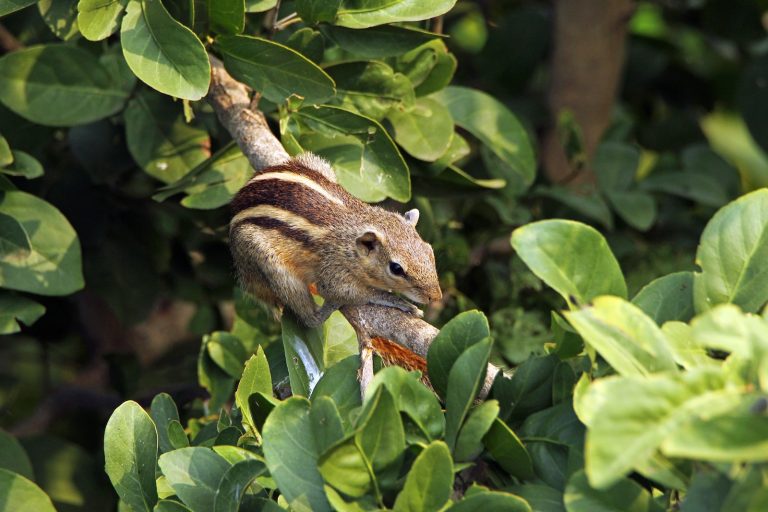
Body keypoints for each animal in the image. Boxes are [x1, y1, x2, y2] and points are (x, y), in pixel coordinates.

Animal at [229, 152, 443, 328]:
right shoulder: (333, 271)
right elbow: (352, 293)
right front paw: (400, 302)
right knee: (309, 318)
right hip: (265, 259)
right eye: (396, 268)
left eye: (429, 251)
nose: (436, 297)